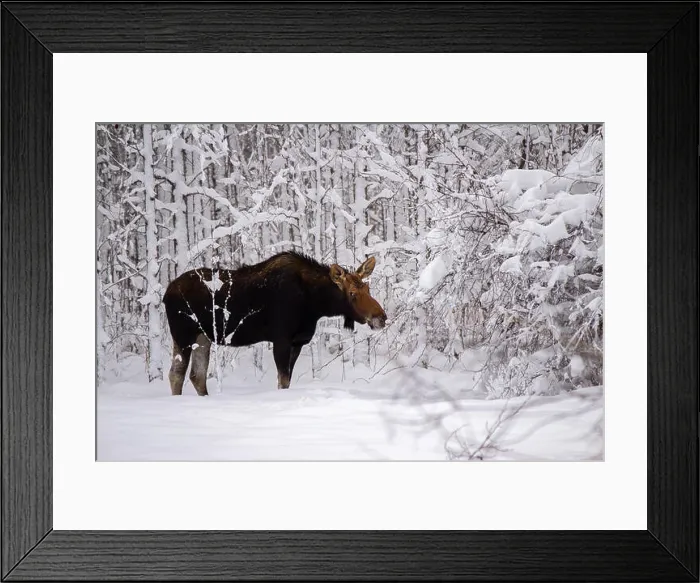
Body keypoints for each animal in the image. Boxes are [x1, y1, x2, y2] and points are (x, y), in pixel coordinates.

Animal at [162, 251, 388, 395]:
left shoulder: (297, 342)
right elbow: (283, 381)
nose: (381, 317)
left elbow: (286, 381)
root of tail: (166, 293)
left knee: (197, 376)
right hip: (183, 335)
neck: (315, 304)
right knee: (176, 374)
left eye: (367, 288)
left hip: (203, 338)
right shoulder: (281, 339)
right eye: (352, 293)